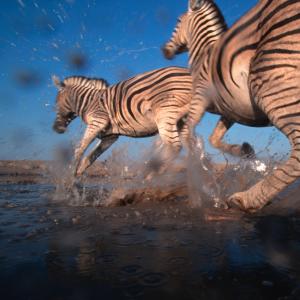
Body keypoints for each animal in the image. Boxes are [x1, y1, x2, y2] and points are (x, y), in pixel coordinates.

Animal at [51, 67, 193, 177]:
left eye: (56, 104)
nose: (56, 129)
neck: (89, 102)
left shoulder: (97, 121)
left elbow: (79, 149)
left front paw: (68, 177)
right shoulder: (110, 136)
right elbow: (90, 157)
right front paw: (77, 176)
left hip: (165, 113)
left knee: (175, 146)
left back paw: (148, 176)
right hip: (183, 119)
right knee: (191, 147)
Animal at [162, 0, 300, 211]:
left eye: (178, 21)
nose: (165, 51)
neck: (202, 54)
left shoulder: (200, 98)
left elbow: (187, 134)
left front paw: (197, 192)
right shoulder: (229, 110)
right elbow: (214, 138)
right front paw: (244, 151)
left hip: (269, 82)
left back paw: (246, 199)